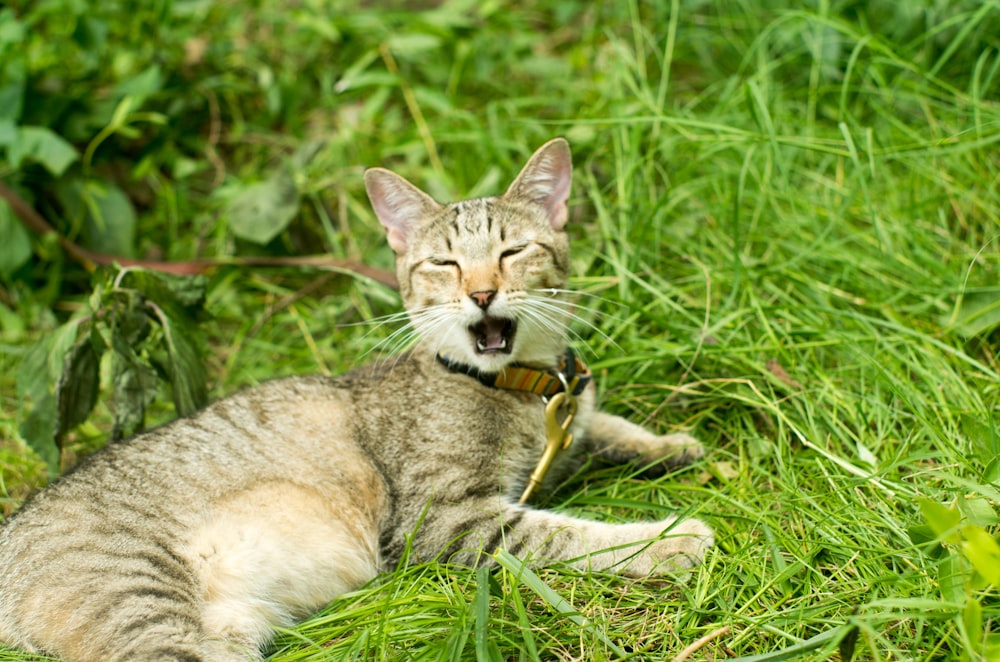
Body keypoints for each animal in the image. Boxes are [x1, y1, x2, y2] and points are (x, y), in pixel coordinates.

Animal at [3, 137, 716, 660]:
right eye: (444, 265)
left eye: (513, 251)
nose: (482, 293)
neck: (520, 386)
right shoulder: (446, 520)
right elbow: (571, 536)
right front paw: (671, 538)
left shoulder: (565, 428)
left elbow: (607, 427)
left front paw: (670, 444)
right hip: (141, 599)